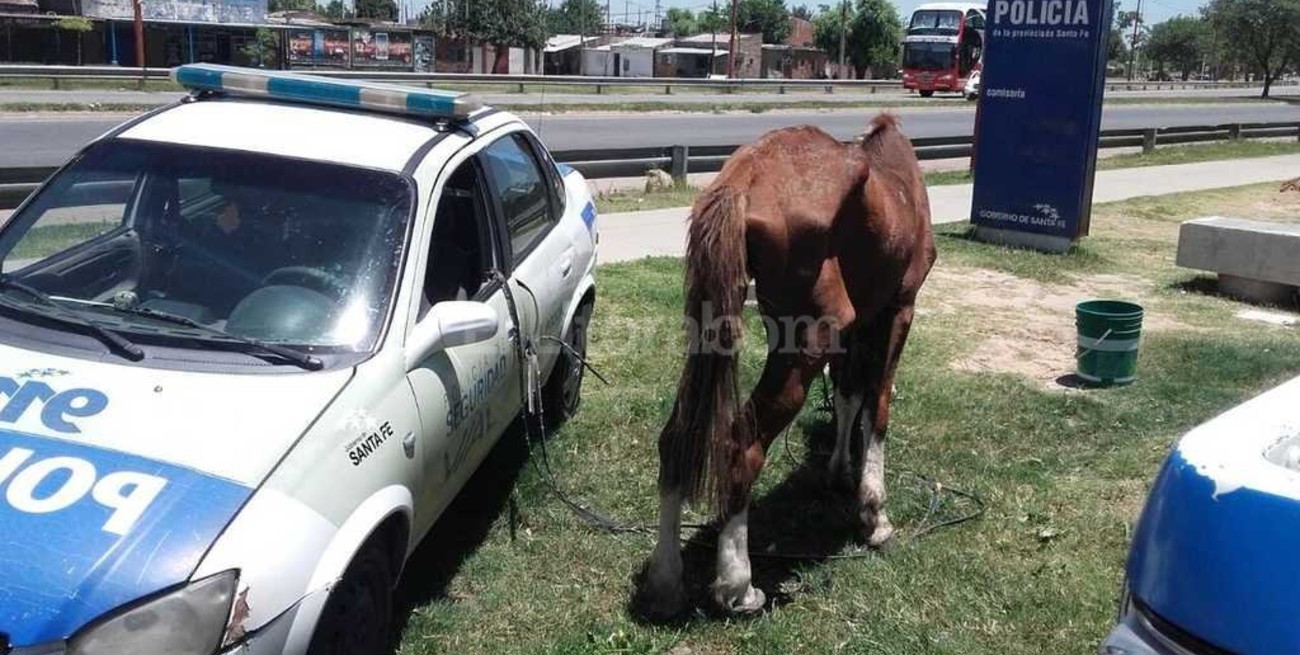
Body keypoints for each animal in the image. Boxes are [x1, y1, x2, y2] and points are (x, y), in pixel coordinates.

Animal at [640, 113, 936, 617]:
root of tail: (743, 180)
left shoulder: (861, 325)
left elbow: (848, 394)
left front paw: (839, 471)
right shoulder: (899, 309)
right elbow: (876, 405)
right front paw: (874, 515)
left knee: (677, 438)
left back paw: (666, 581)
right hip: (812, 339)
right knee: (742, 445)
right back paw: (738, 587)